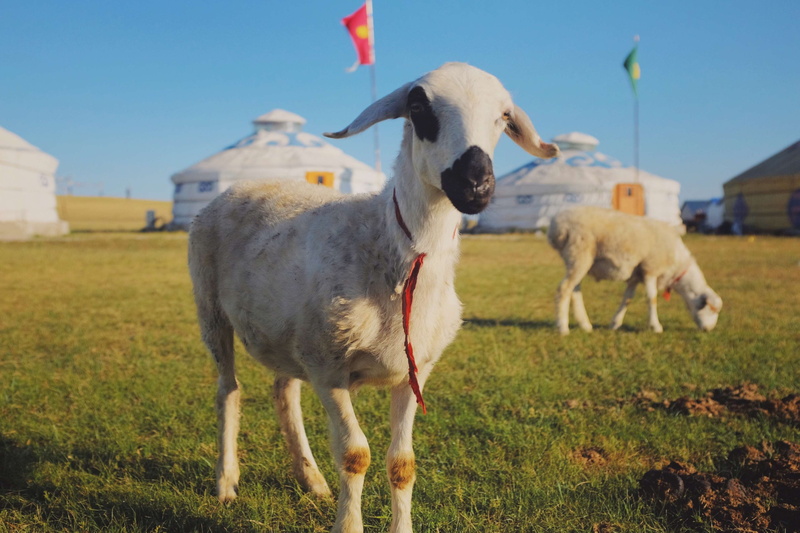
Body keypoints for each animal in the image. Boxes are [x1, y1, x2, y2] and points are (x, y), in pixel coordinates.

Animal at [187, 62, 559, 533]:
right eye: (418, 106)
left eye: (505, 116)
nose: (476, 182)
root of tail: (246, 185)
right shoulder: (328, 370)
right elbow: (354, 454)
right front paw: (349, 523)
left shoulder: (415, 371)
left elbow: (402, 463)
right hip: (212, 309)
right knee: (228, 392)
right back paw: (226, 483)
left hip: (288, 333)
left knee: (283, 392)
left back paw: (311, 479)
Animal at [547, 206, 722, 334]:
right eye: (712, 309)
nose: (709, 330)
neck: (677, 265)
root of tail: (556, 225)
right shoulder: (650, 268)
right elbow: (652, 298)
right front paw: (656, 327)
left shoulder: (635, 276)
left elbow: (627, 299)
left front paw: (615, 323)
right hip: (579, 253)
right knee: (564, 289)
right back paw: (563, 328)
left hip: (576, 259)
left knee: (575, 291)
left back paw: (585, 325)